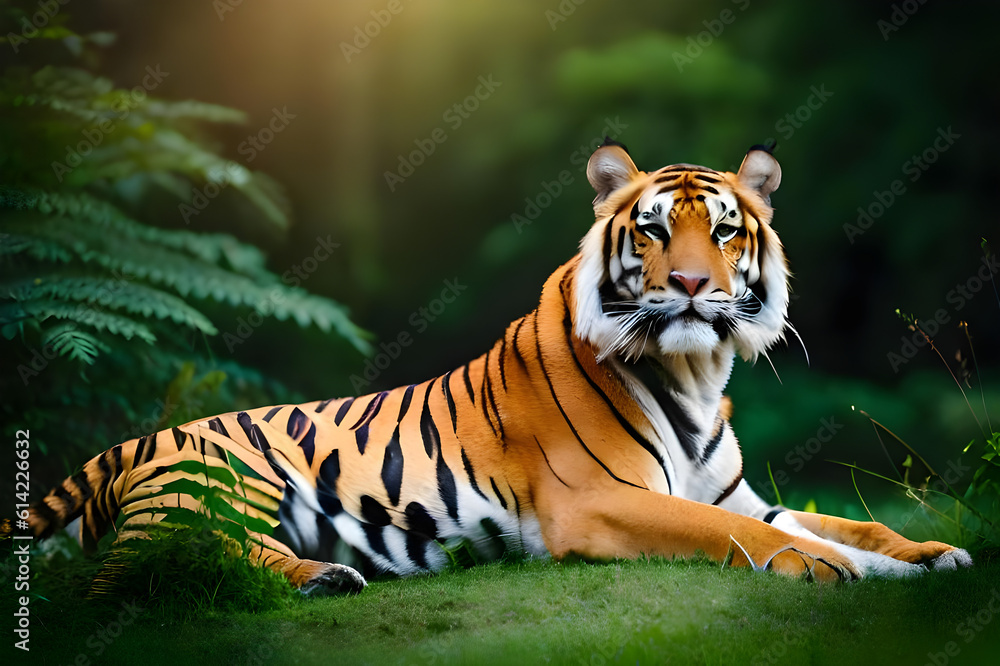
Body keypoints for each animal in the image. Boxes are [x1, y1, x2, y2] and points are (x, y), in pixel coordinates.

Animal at [27, 140, 972, 593]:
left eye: (726, 230)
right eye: (654, 231)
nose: (693, 286)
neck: (699, 377)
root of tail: (130, 443)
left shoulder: (738, 492)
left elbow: (842, 523)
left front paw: (928, 555)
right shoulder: (600, 504)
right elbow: (755, 538)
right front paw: (840, 570)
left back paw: (329, 576)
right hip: (221, 481)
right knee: (123, 577)